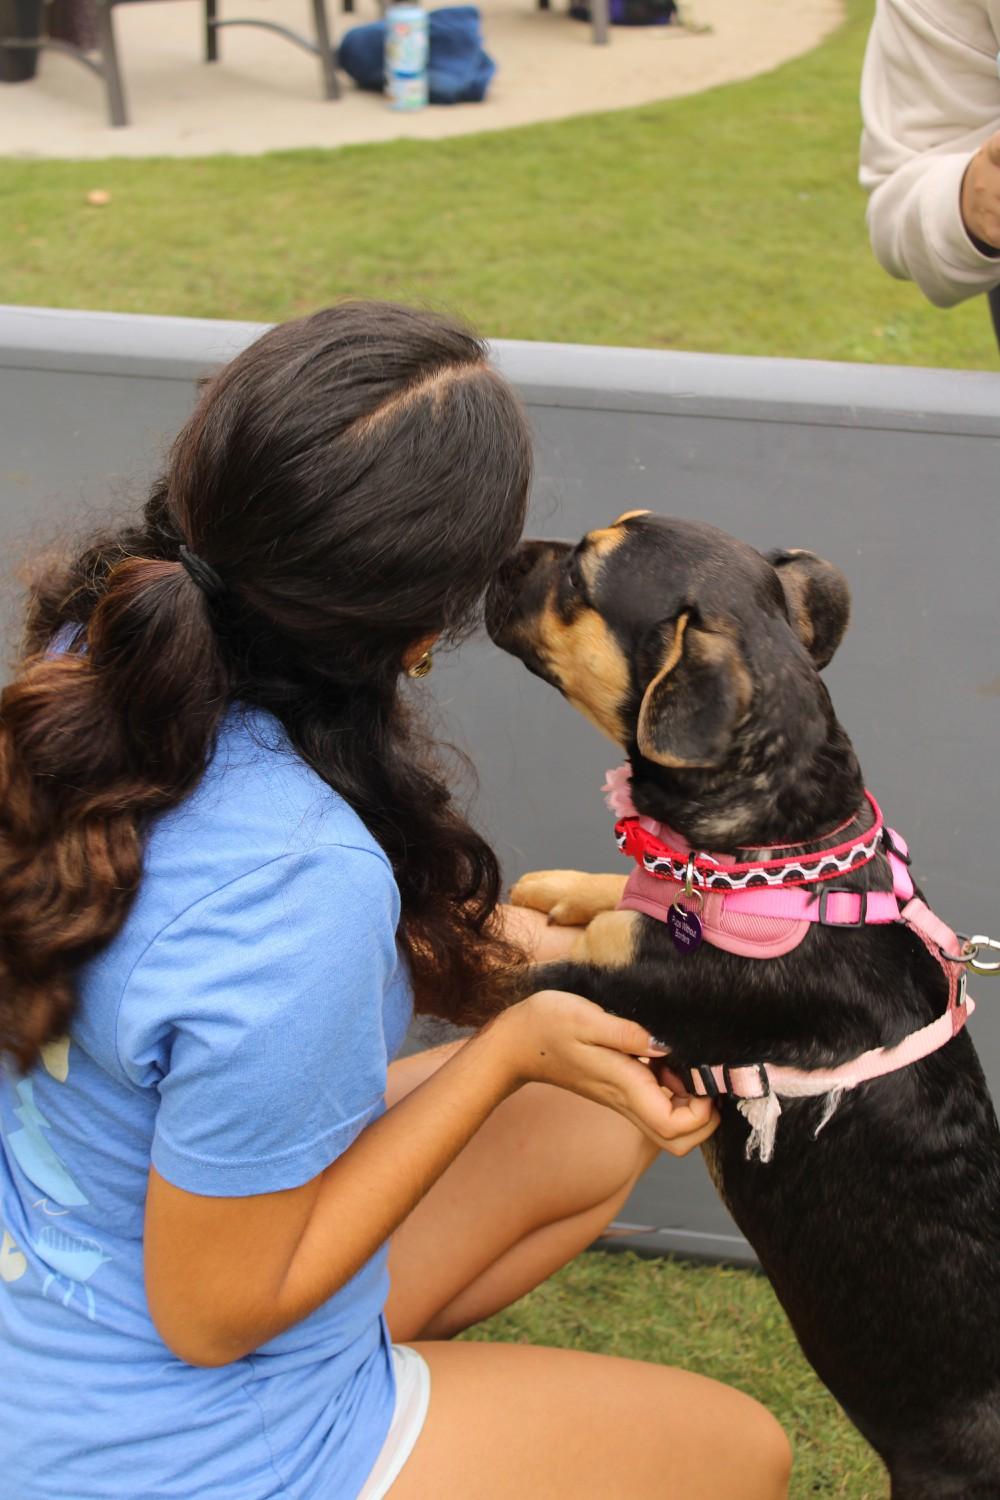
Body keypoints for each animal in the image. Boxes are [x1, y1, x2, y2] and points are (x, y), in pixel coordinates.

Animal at [488, 513, 1000, 1488]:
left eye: (579, 578)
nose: (501, 556)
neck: (781, 851)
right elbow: (622, 893)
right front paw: (561, 887)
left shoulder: (621, 984)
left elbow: (526, 964)